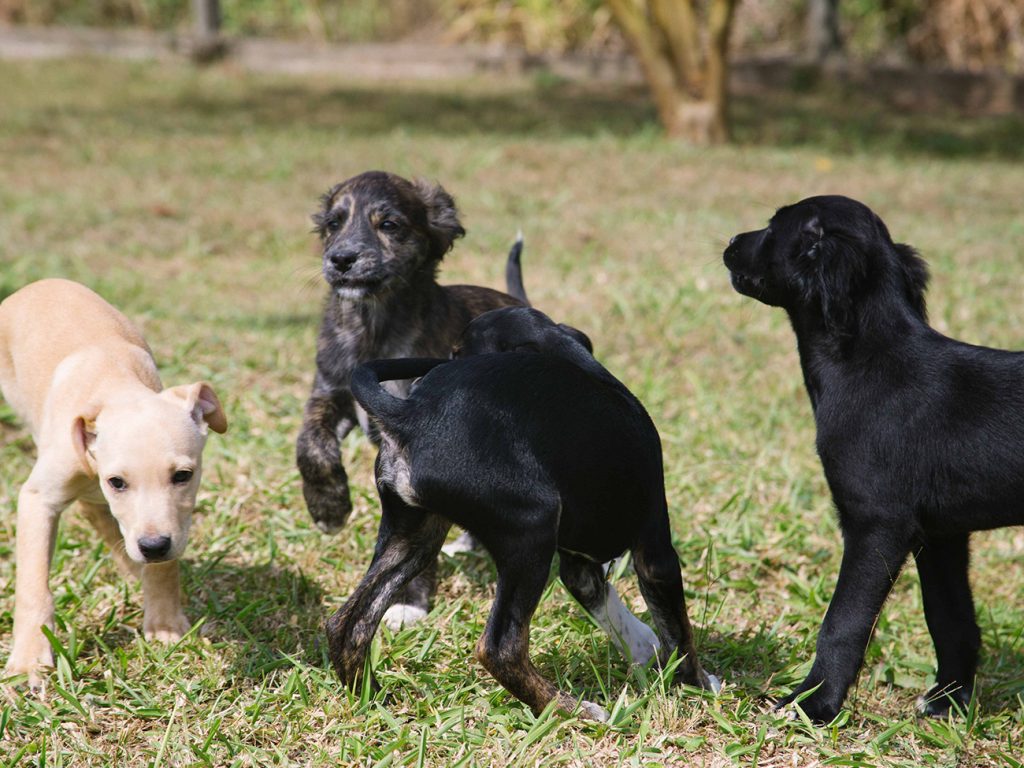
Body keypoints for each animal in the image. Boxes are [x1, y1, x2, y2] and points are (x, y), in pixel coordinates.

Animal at [0, 279, 227, 688]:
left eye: (183, 476)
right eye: (117, 481)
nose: (152, 546)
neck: (115, 384)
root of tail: (39, 283)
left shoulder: (167, 523)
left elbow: (163, 567)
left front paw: (165, 624)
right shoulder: (38, 499)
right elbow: (33, 586)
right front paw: (28, 661)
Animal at [295, 170, 526, 628]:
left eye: (390, 225)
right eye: (333, 223)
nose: (341, 259)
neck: (373, 324)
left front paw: (408, 602)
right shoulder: (329, 394)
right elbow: (310, 446)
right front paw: (329, 509)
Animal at [325, 307, 717, 721]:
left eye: (456, 352)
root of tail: (410, 415)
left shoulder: (578, 565)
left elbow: (605, 601)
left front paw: (642, 646)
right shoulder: (656, 553)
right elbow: (678, 629)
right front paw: (699, 683)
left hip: (413, 536)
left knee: (348, 624)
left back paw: (374, 699)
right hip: (532, 530)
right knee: (501, 648)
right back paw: (574, 710)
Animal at [724, 194, 1024, 723]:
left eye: (774, 226)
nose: (731, 243)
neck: (867, 361)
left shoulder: (877, 524)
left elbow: (842, 623)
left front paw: (813, 702)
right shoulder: (941, 535)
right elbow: (950, 618)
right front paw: (949, 701)